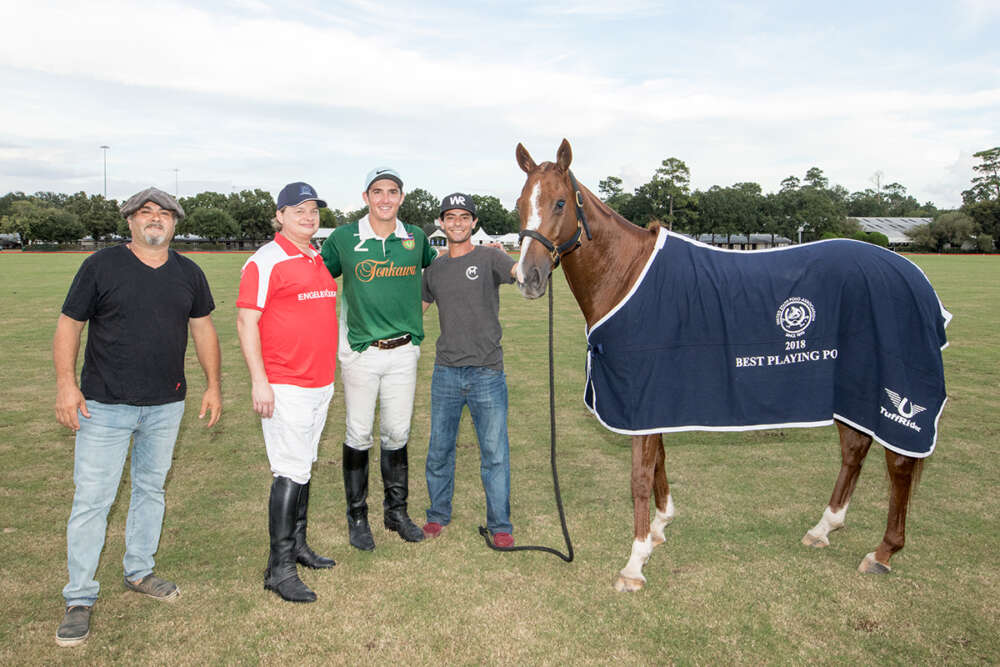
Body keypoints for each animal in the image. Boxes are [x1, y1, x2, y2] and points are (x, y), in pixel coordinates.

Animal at [516, 138, 936, 592]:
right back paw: (824, 528)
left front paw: (634, 563)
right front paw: (661, 527)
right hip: (848, 391)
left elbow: (640, 477)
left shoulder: (643, 395)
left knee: (898, 465)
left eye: (560, 202)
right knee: (855, 450)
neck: (627, 275)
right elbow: (660, 460)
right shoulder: (656, 399)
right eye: (520, 203)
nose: (527, 277)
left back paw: (883, 552)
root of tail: (911, 274)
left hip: (893, 398)